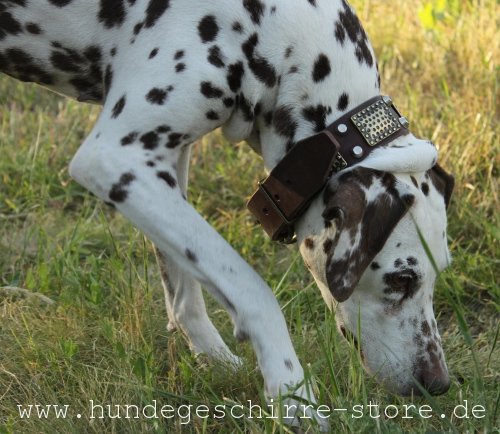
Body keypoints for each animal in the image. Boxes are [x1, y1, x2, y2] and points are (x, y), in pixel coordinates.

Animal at [0, 0, 456, 428]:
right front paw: (292, 392)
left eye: (438, 273)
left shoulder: (162, 163)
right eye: (401, 279)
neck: (266, 27)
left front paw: (216, 360)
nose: (438, 383)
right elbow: (253, 289)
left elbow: (184, 292)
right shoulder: (115, 157)